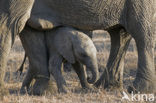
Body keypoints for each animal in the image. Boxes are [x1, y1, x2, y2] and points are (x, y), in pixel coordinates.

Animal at [0, 0, 155, 94]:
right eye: (83, 55)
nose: (89, 77)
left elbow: (13, 22)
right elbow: (26, 27)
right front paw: (45, 92)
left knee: (140, 31)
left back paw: (135, 90)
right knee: (122, 33)